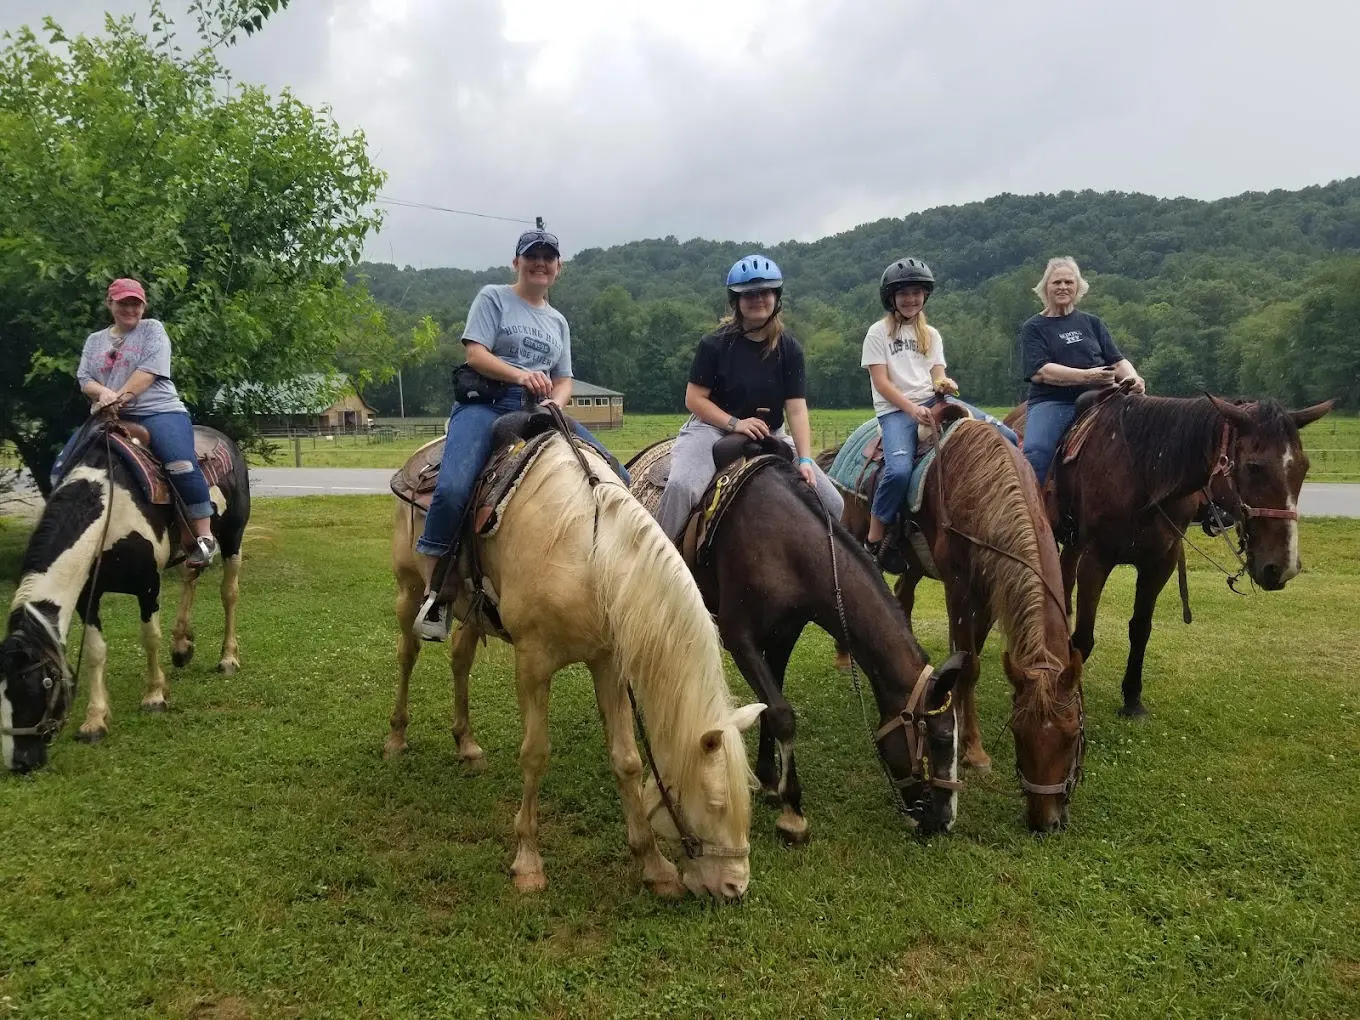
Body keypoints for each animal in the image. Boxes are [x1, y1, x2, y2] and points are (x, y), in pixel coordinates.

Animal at [0, 424, 248, 772]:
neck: (109, 510)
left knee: (229, 594)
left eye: (38, 685)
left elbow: (150, 638)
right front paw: (94, 721)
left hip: (233, 538)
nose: (20, 762)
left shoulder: (148, 586)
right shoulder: (88, 597)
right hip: (191, 549)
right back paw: (182, 646)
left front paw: (155, 696)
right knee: (190, 578)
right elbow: (95, 650)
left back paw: (227, 658)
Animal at [386, 432, 767, 903]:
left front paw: (654, 865)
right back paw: (396, 736)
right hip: (409, 588)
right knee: (407, 653)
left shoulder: (608, 664)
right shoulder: (533, 664)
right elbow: (534, 755)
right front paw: (528, 862)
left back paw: (467, 744)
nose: (735, 886)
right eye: (715, 803)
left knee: (460, 658)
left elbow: (627, 760)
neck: (591, 557)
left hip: (471, 610)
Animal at [628, 440, 968, 848]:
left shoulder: (782, 636)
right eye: (939, 738)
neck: (785, 544)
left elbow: (769, 707)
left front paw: (769, 781)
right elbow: (781, 714)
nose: (945, 819)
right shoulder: (740, 639)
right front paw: (792, 812)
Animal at [826, 410, 1082, 832]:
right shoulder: (959, 587)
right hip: (854, 528)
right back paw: (844, 656)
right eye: (1017, 731)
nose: (1045, 821)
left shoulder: (991, 591)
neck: (982, 489)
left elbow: (968, 654)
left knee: (903, 598)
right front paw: (975, 751)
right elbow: (971, 664)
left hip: (913, 563)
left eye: (1072, 734)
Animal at [1022, 391, 1327, 718]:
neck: (1143, 474)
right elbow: (1084, 638)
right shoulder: (1096, 560)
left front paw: (1132, 699)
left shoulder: (1160, 562)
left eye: (1303, 468)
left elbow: (1140, 629)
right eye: (1254, 466)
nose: (1283, 567)